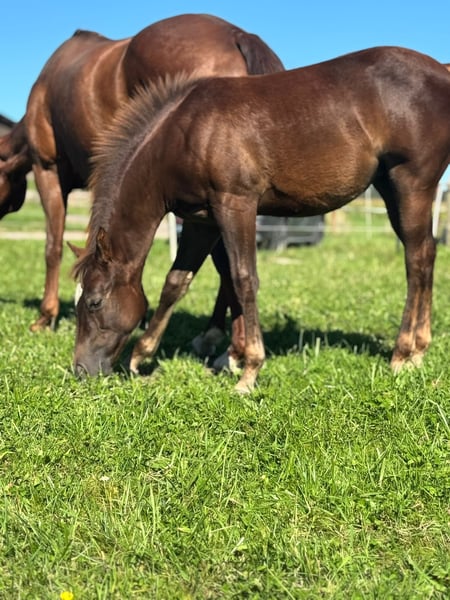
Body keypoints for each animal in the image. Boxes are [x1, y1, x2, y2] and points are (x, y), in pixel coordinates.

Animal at [71, 46, 450, 393]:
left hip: (411, 184)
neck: (185, 132)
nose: (81, 370)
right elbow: (177, 281)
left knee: (417, 258)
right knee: (427, 253)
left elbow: (243, 278)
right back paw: (419, 349)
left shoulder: (236, 204)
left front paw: (249, 370)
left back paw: (404, 353)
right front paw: (142, 356)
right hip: (390, 188)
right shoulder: (201, 221)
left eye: (93, 302)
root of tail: (440, 71)